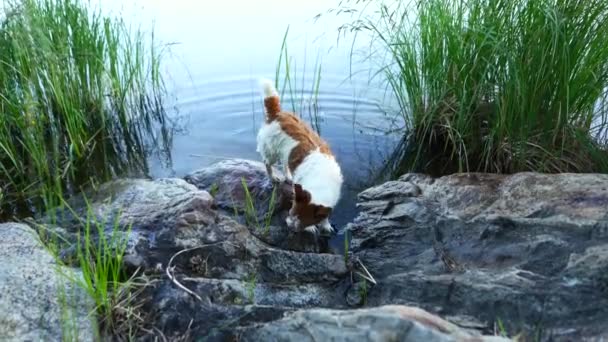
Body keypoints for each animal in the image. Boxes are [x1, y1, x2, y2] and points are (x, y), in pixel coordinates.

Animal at [255, 79, 344, 235]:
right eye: (291, 213)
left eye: (301, 221)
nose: (288, 225)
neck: (321, 180)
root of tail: (277, 114)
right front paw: (311, 228)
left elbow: (325, 215)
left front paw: (325, 225)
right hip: (271, 151)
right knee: (267, 163)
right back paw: (273, 177)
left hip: (286, 153)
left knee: (285, 163)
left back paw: (288, 176)